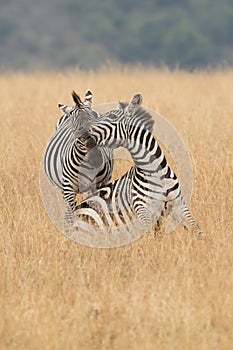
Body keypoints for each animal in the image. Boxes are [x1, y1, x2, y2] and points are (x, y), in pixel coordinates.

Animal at [43, 89, 114, 221]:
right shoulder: (68, 189)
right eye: (78, 130)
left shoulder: (93, 186)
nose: (96, 159)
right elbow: (71, 213)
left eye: (95, 126)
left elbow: (92, 207)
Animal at [60, 93, 202, 237]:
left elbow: (197, 230)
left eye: (112, 117)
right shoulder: (142, 208)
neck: (156, 172)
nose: (82, 133)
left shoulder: (179, 205)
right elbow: (148, 235)